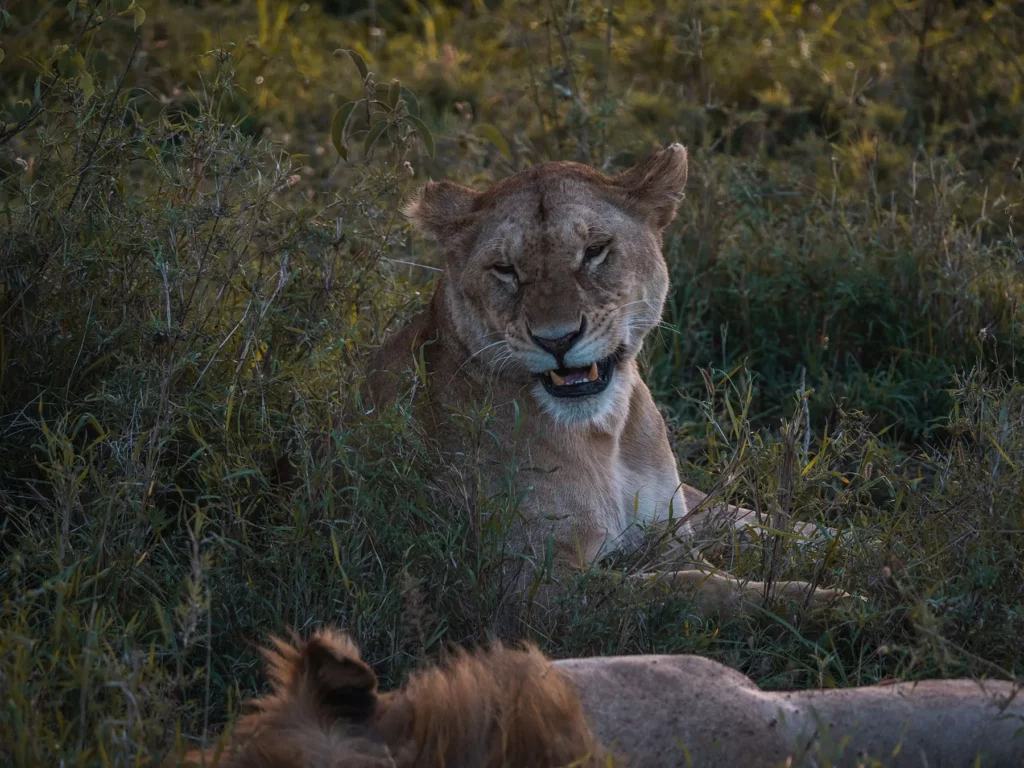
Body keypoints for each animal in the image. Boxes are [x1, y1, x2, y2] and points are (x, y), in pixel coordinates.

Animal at [364, 143, 848, 618]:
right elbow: (692, 588)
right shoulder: (526, 586)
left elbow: (730, 552)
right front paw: (829, 605)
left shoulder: (669, 531)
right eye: (505, 269)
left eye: (594, 251)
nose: (557, 339)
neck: (605, 433)